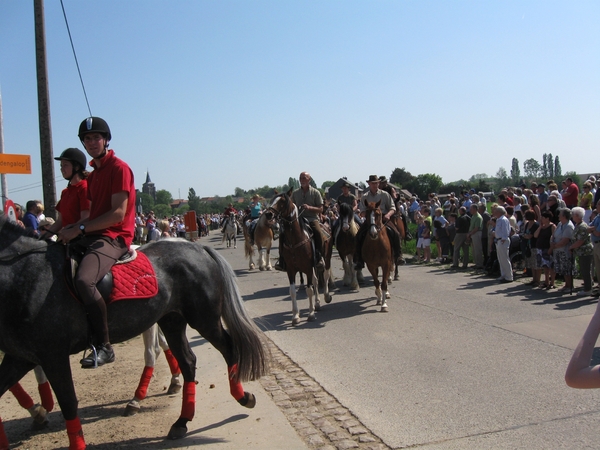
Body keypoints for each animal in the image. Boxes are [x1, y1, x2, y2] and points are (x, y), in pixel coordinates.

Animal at [0, 216, 270, 448]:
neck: (27, 273)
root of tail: (197, 248)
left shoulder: (53, 355)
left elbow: (68, 402)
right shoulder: (21, 356)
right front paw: (38, 412)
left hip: (204, 319)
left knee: (228, 348)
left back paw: (242, 396)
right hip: (171, 321)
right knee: (187, 361)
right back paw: (181, 421)